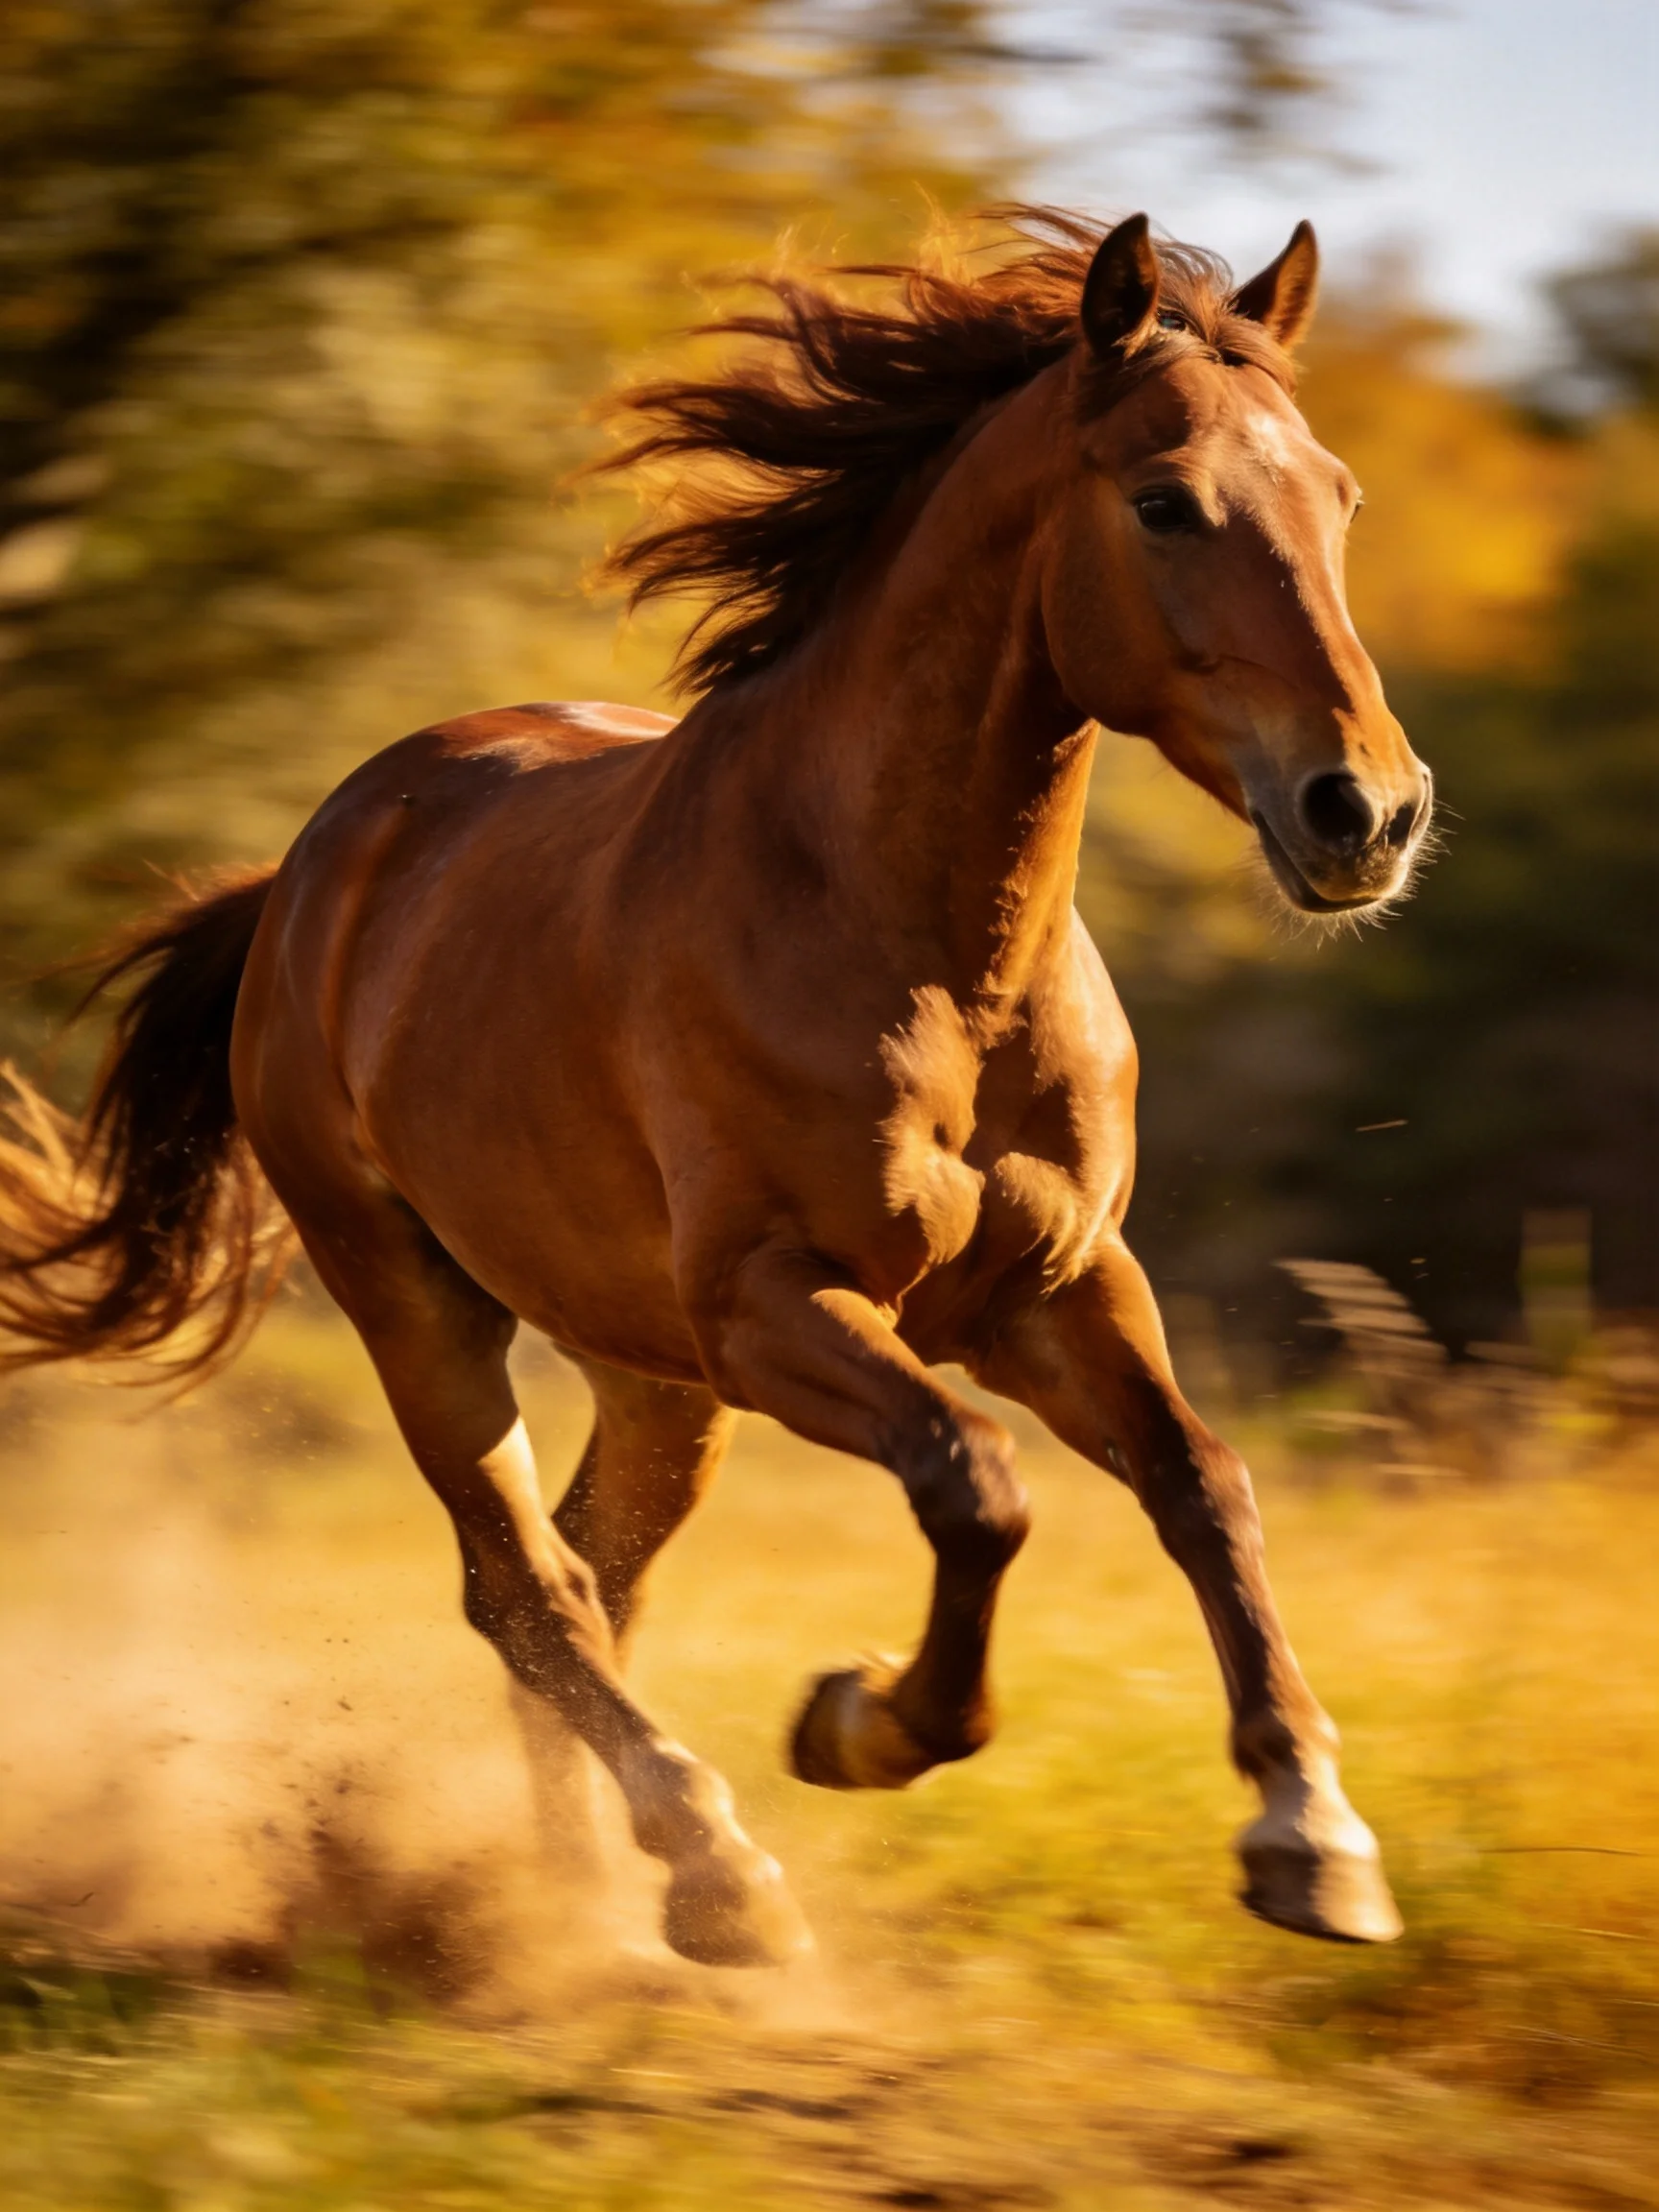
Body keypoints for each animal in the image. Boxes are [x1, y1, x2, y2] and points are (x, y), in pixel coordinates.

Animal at [0, 208, 1432, 1967]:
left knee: (584, 1579)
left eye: (1341, 497)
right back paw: (709, 1871)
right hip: (423, 1302)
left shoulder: (1059, 1286)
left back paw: (581, 1895)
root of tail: (311, 871)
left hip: (650, 1373)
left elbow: (1205, 1486)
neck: (927, 958)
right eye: (1164, 500)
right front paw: (860, 1720)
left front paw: (1314, 1839)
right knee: (523, 1584)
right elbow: (977, 1485)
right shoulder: (776, 1303)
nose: (1364, 812)